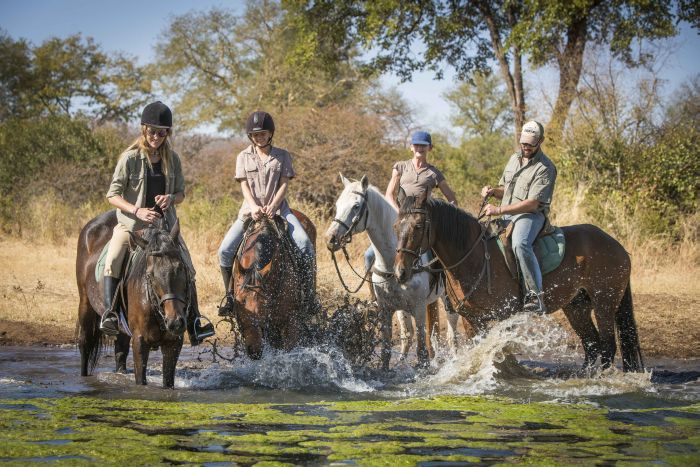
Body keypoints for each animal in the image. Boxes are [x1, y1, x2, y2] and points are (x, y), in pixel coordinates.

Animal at [75, 212, 191, 388]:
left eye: (181, 268)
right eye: (150, 275)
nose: (175, 322)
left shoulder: (173, 343)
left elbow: (168, 381)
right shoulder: (140, 342)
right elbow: (140, 380)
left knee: (120, 351)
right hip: (85, 304)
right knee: (85, 344)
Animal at [326, 176, 462, 370]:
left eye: (356, 206)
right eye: (337, 205)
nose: (330, 239)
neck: (392, 264)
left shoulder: (419, 308)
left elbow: (421, 352)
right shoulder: (386, 309)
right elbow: (386, 349)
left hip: (448, 298)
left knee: (451, 333)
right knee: (408, 336)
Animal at [394, 196, 644, 374]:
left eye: (418, 226)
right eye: (396, 226)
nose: (400, 272)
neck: (474, 256)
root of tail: (617, 246)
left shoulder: (503, 316)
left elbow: (501, 351)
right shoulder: (472, 319)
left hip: (604, 304)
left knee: (607, 345)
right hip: (577, 307)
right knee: (591, 344)